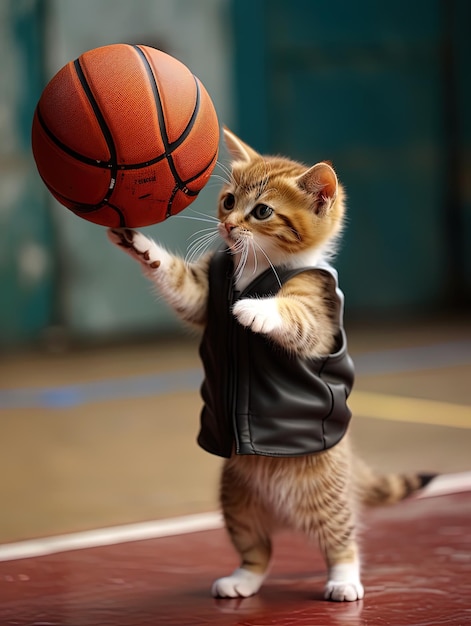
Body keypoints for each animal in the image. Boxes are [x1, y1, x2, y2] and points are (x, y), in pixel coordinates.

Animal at [108, 128, 436, 600]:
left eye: (262, 211)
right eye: (228, 201)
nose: (228, 225)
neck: (257, 266)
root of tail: (285, 516)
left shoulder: (318, 309)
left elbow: (295, 317)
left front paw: (256, 310)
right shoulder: (202, 296)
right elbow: (176, 279)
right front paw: (140, 246)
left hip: (325, 497)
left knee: (341, 538)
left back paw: (344, 580)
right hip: (237, 502)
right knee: (257, 551)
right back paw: (242, 579)